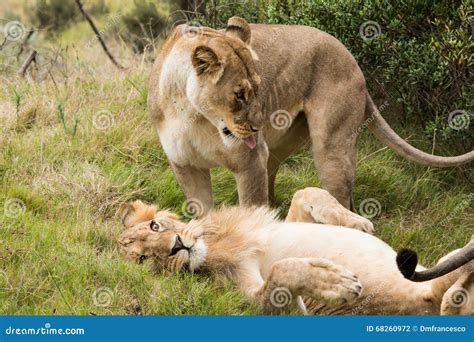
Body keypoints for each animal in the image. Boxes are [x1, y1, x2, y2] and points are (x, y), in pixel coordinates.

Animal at [118, 188, 474, 314]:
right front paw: (335, 283)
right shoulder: (252, 301)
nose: (177, 246)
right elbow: (281, 272)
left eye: (154, 227)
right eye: (145, 260)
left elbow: (307, 192)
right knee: (449, 293)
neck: (215, 243)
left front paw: (358, 222)